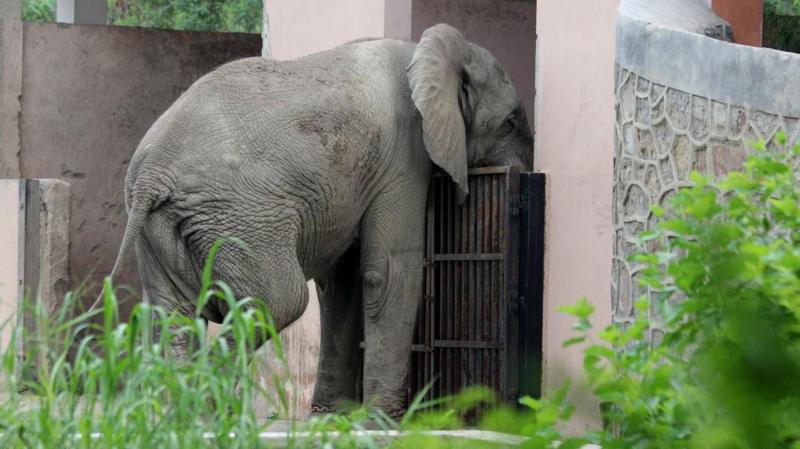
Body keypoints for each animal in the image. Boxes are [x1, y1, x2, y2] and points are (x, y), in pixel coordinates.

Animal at [106, 23, 533, 415]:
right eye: (510, 123)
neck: (428, 55)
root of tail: (151, 175)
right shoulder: (404, 154)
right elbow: (390, 272)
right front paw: (381, 422)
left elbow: (342, 284)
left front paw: (332, 417)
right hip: (238, 219)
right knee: (280, 300)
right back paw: (204, 411)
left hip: (164, 228)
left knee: (174, 318)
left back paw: (182, 416)